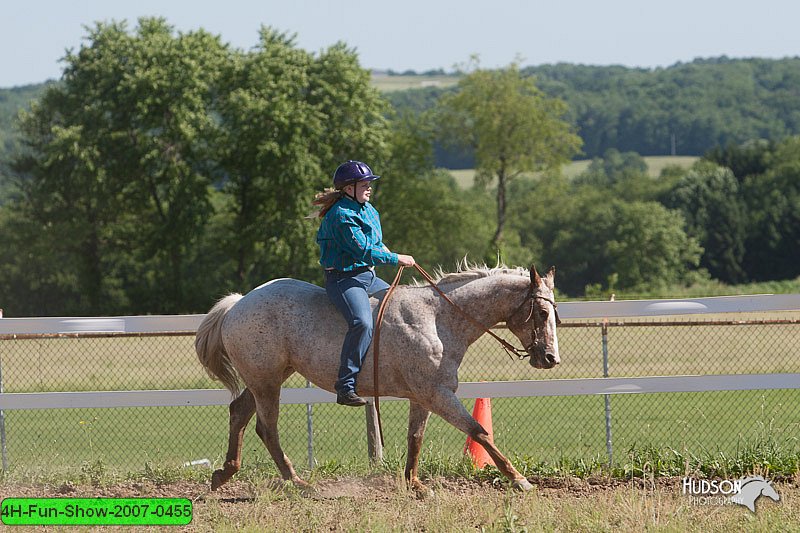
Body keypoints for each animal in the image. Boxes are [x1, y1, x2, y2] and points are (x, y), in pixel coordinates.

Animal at [196, 260, 560, 490]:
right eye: (542, 313)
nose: (551, 358)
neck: (438, 318)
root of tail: (238, 303)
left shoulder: (424, 397)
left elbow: (415, 438)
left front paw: (414, 483)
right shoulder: (439, 394)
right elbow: (479, 432)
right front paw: (520, 480)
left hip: (266, 379)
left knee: (239, 414)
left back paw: (224, 474)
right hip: (267, 383)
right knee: (266, 428)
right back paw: (297, 482)